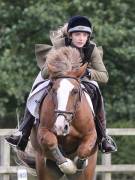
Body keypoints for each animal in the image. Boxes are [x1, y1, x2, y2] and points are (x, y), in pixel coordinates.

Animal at [17, 46, 98, 180]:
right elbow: (51, 141)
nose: (61, 126)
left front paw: (78, 163)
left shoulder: (91, 134)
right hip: (45, 168)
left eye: (75, 91)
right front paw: (67, 164)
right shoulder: (43, 131)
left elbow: (83, 150)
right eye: (54, 90)